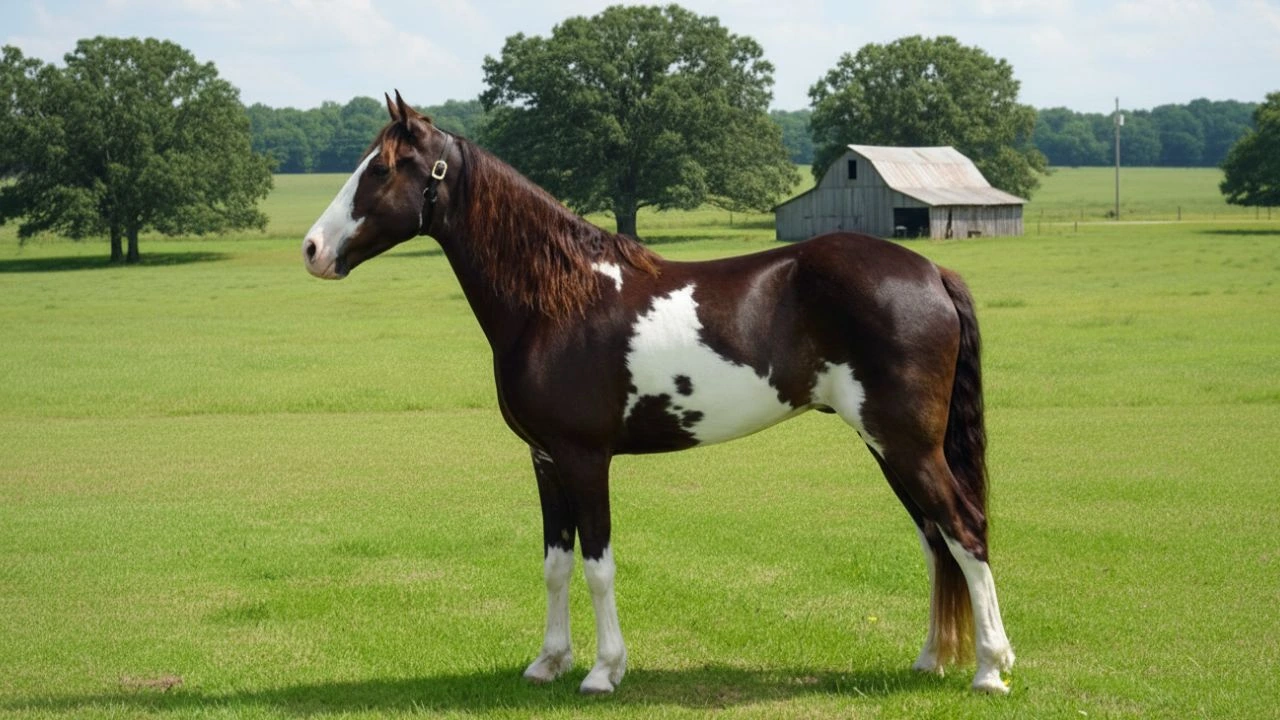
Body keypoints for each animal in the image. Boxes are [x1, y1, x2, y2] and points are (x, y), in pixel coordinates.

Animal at [302, 92, 1015, 695]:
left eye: (381, 169)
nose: (311, 249)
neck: (557, 300)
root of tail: (931, 270)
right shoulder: (545, 461)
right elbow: (556, 564)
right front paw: (548, 662)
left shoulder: (585, 459)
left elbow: (598, 565)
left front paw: (603, 671)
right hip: (889, 446)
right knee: (936, 540)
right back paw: (931, 659)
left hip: (906, 445)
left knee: (965, 530)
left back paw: (989, 669)